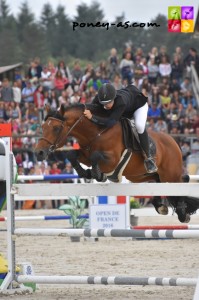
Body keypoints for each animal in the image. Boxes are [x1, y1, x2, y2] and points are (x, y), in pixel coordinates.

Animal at [35, 103, 199, 223]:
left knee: (180, 184)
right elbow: (72, 154)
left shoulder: (112, 161)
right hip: (139, 176)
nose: (39, 153)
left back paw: (182, 213)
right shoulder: (84, 154)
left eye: (56, 128)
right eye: (43, 127)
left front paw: (97, 174)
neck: (96, 132)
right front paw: (86, 173)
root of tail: (174, 142)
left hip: (170, 174)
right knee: (158, 182)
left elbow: (95, 156)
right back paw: (160, 205)